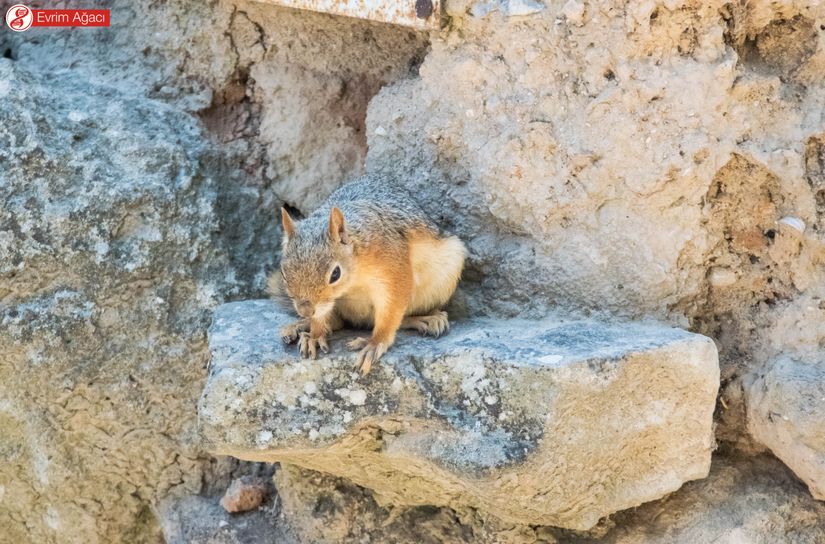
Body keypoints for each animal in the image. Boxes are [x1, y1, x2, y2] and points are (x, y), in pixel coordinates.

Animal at [268, 174, 466, 374]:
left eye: (335, 274)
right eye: (284, 273)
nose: (305, 311)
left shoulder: (393, 270)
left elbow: (391, 311)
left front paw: (374, 343)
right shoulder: (326, 303)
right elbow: (321, 316)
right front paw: (315, 335)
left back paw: (426, 319)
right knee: (339, 322)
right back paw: (299, 326)